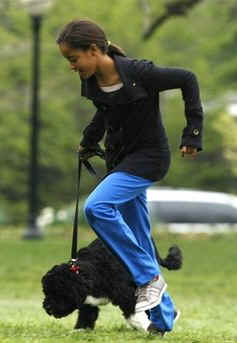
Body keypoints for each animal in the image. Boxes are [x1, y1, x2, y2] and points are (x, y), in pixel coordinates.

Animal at [41, 239, 182, 334]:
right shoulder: (88, 302)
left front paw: (149, 328)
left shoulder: (128, 295)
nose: (47, 307)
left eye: (58, 292)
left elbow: (133, 314)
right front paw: (80, 330)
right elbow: (87, 316)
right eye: (46, 292)